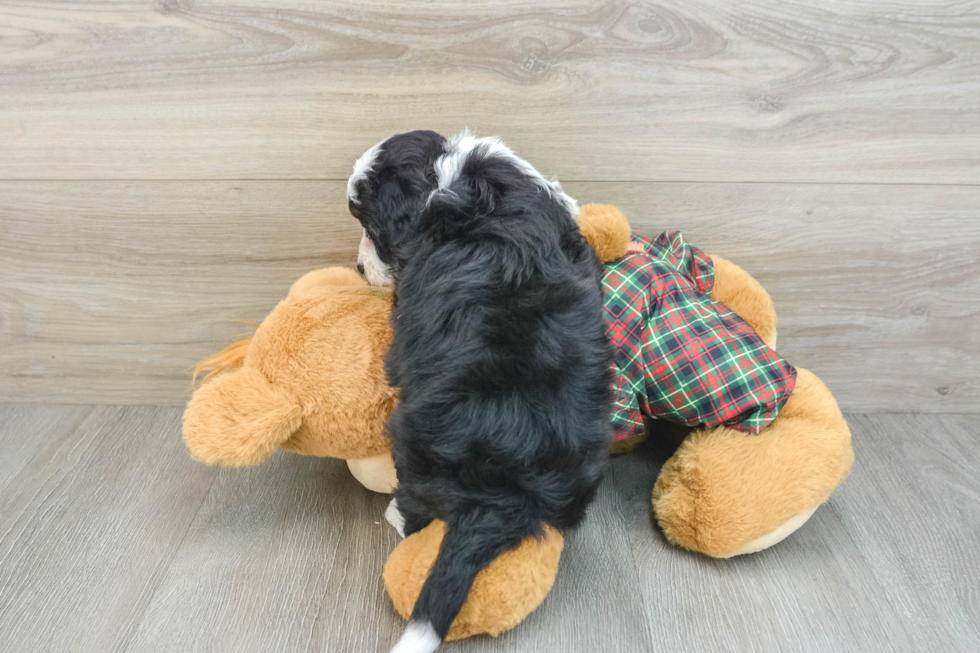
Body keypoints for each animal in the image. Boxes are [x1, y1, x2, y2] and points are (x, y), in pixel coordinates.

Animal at [346, 130, 612, 648]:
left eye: (369, 226)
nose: (359, 269)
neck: (444, 175)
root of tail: (504, 495)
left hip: (410, 439)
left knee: (416, 503)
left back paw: (396, 517)